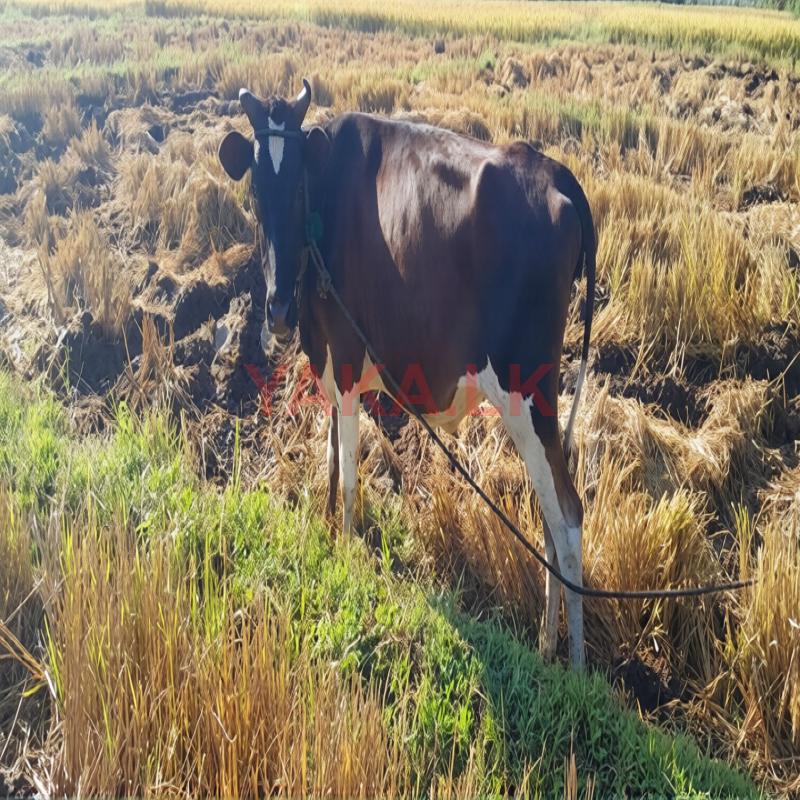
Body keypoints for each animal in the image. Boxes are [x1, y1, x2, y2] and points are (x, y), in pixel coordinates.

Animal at [218, 80, 596, 669]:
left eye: (298, 190)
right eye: (255, 191)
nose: (276, 313)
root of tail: (554, 172)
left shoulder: (347, 357)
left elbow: (350, 473)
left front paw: (346, 548)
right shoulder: (332, 364)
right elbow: (331, 460)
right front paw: (328, 530)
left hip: (528, 397)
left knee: (567, 517)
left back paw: (573, 664)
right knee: (550, 518)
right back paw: (544, 644)